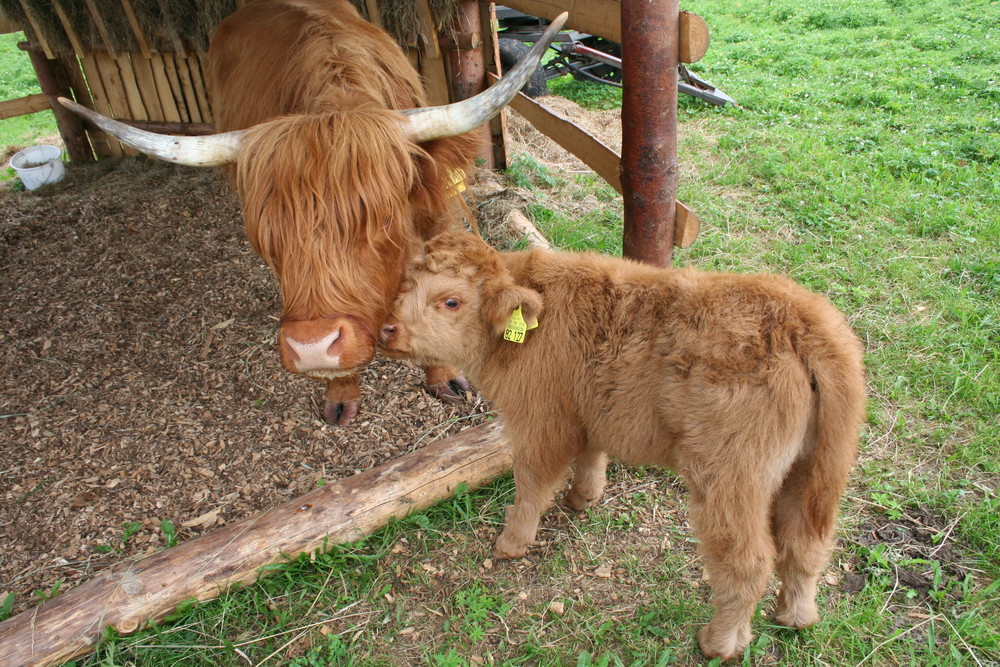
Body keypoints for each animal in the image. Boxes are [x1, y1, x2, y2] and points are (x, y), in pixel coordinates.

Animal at [378, 232, 864, 660]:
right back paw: (796, 616)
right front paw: (584, 498)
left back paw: (718, 643)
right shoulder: (588, 412)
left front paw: (511, 543)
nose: (387, 330)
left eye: (451, 301)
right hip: (808, 469)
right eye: (405, 285)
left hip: (731, 477)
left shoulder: (541, 424)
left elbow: (532, 485)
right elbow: (591, 455)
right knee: (806, 542)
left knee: (747, 562)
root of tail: (800, 317)